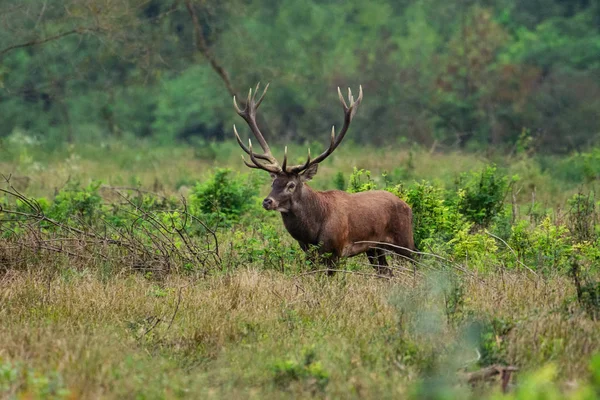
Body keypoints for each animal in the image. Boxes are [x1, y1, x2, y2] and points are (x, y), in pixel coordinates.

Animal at [232, 82, 414, 274]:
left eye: (291, 185)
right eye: (273, 182)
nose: (267, 201)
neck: (312, 231)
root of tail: (407, 206)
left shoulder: (336, 250)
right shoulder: (308, 252)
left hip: (405, 240)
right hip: (374, 248)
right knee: (386, 273)